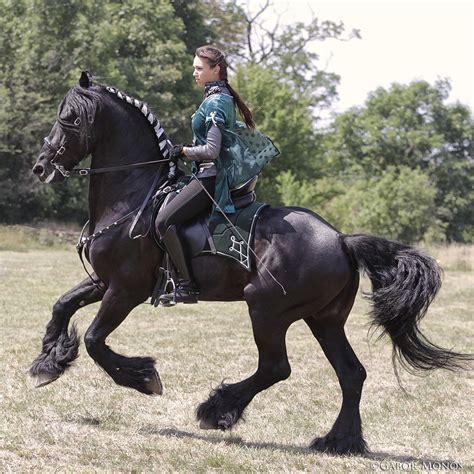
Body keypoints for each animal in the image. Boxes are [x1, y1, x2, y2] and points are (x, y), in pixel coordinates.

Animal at [30, 73, 470, 456]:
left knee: (277, 367)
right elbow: (61, 305)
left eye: (69, 119)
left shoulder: (126, 290)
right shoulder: (104, 282)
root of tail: (341, 240)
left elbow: (94, 340)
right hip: (323, 319)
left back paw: (217, 410)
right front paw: (48, 362)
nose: (41, 168)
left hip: (266, 309)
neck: (132, 198)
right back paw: (340, 441)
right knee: (351, 373)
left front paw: (143, 378)